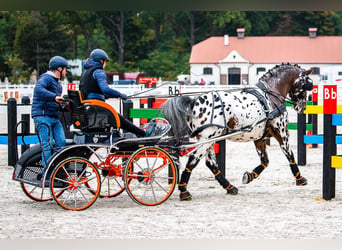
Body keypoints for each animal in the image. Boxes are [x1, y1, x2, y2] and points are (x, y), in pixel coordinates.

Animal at [162, 63, 314, 200]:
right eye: (307, 84)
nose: (302, 107)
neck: (271, 94)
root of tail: (194, 102)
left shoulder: (260, 138)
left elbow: (265, 161)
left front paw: (249, 176)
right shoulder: (281, 132)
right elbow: (289, 155)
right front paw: (300, 178)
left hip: (208, 139)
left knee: (210, 163)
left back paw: (229, 187)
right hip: (206, 139)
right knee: (194, 159)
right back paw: (184, 191)